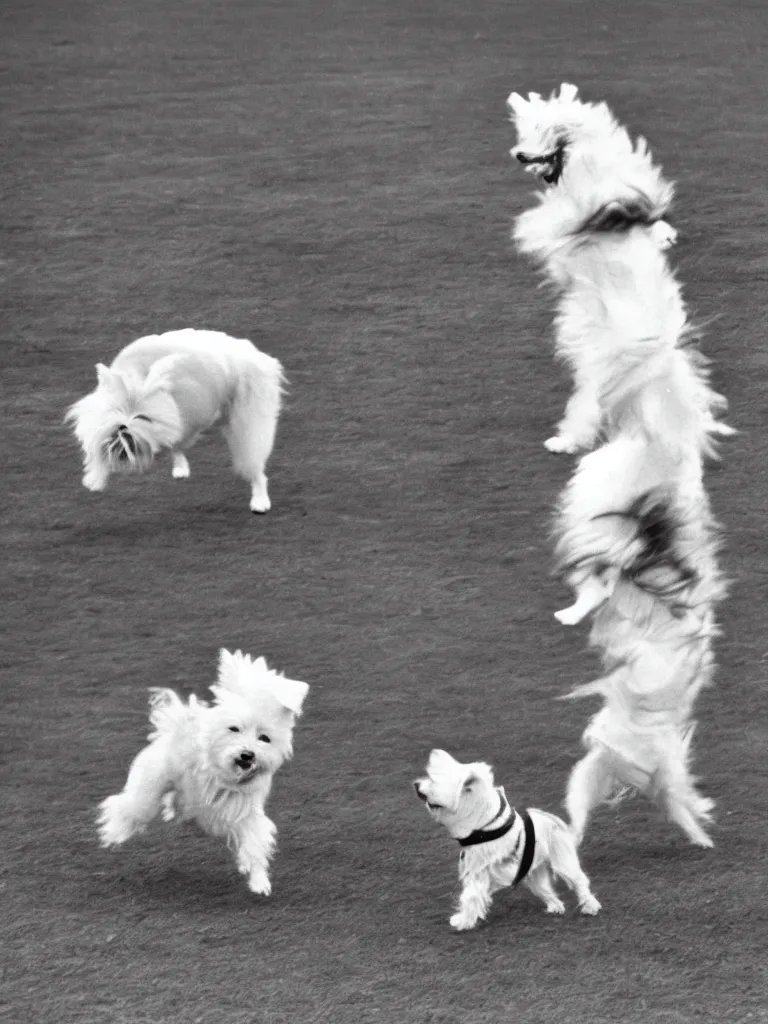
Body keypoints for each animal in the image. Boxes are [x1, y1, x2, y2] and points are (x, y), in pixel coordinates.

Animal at [67, 327, 286, 512]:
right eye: (114, 413)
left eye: (144, 417)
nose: (123, 441)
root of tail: (256, 355)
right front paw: (95, 479)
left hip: (249, 421)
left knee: (254, 462)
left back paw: (260, 500)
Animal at [99, 647, 309, 897]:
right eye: (234, 728)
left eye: (264, 738)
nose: (247, 755)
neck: (224, 774)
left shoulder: (245, 809)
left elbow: (254, 841)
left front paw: (259, 881)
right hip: (150, 783)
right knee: (136, 806)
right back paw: (115, 831)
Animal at [415, 749, 602, 933]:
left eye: (433, 780)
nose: (416, 785)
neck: (483, 826)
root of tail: (560, 825)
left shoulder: (479, 871)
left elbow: (470, 896)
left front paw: (463, 922)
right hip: (534, 874)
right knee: (547, 891)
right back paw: (555, 908)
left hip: (563, 862)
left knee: (580, 882)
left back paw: (591, 906)